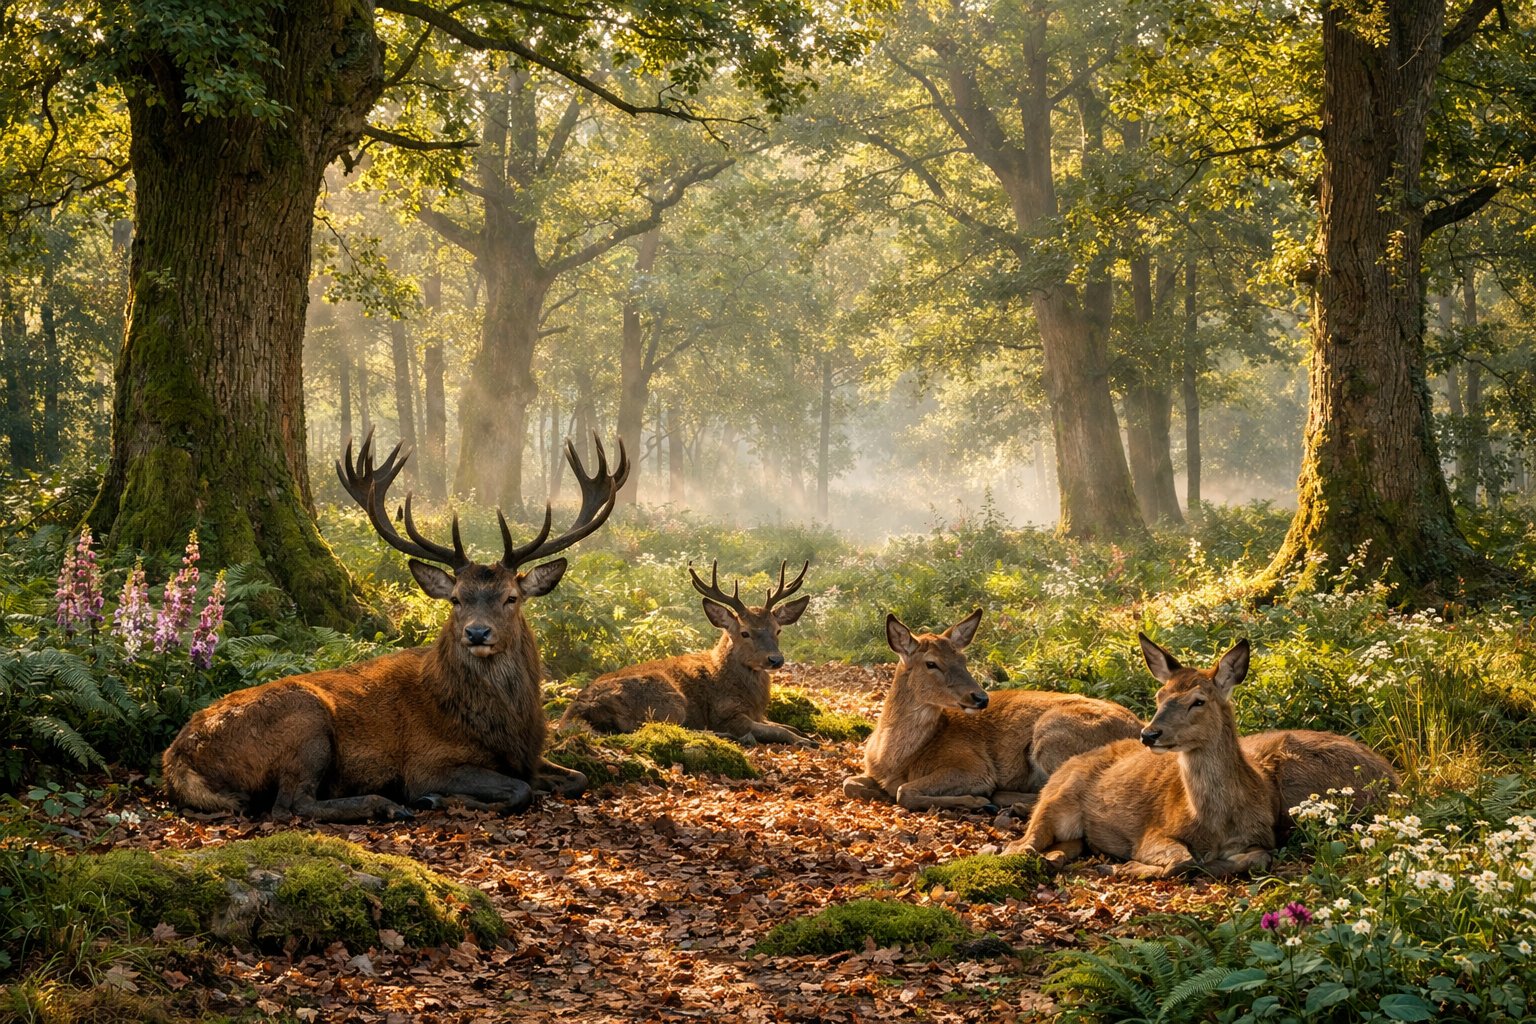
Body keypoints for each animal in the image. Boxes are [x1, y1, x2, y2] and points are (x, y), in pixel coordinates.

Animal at [161, 431, 629, 822]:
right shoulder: (429, 760)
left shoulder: (531, 755)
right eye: (456, 599)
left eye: (511, 598)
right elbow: (518, 790)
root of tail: (176, 756)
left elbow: (578, 778)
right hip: (306, 722)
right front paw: (439, 799)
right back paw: (386, 804)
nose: (477, 633)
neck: (507, 728)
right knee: (290, 805)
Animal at [559, 561, 816, 745]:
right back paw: (735, 738)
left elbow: (786, 726)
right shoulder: (727, 714)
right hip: (667, 699)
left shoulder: (757, 714)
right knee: (659, 728)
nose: (776, 659)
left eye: (778, 630)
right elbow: (779, 731)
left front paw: (807, 734)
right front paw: (805, 741)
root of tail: (576, 713)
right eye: (745, 632)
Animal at [841, 610, 1143, 813]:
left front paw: (975, 800)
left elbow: (904, 791)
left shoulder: (972, 764)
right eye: (931, 663)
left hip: (1053, 734)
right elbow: (848, 782)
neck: (894, 758)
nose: (980, 697)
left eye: (963, 659)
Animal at [1006, 634, 1397, 878]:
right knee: (1022, 844)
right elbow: (1182, 859)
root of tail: (1396, 779)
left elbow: (1257, 859)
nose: (1149, 734)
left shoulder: (1260, 838)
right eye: (1160, 695)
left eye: (1198, 700)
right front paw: (1124, 866)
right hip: (1057, 796)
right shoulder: (1153, 832)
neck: (1214, 821)